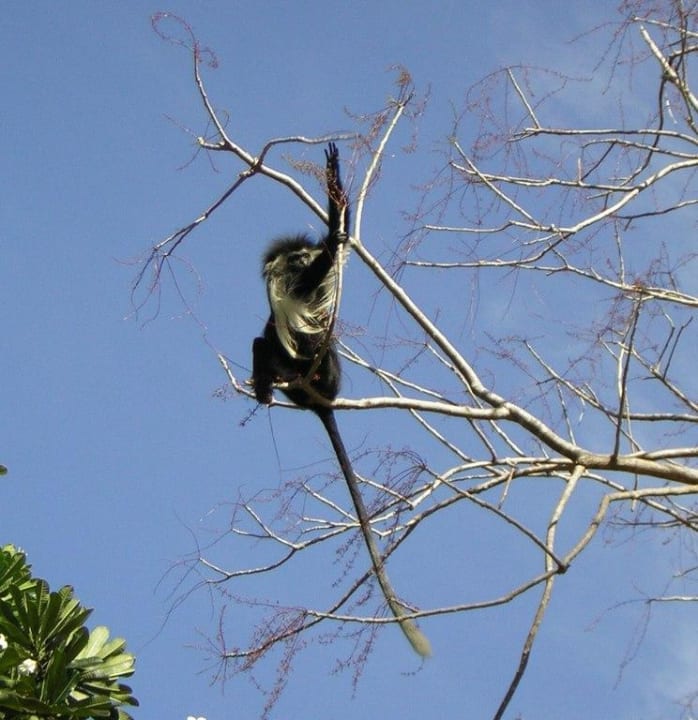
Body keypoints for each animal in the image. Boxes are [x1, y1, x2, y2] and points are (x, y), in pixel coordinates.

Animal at [251, 143, 431, 657]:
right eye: (294, 257)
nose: (301, 258)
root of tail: (321, 402)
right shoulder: (298, 287)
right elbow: (323, 265)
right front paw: (333, 203)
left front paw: (335, 202)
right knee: (278, 340)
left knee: (271, 341)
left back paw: (271, 382)